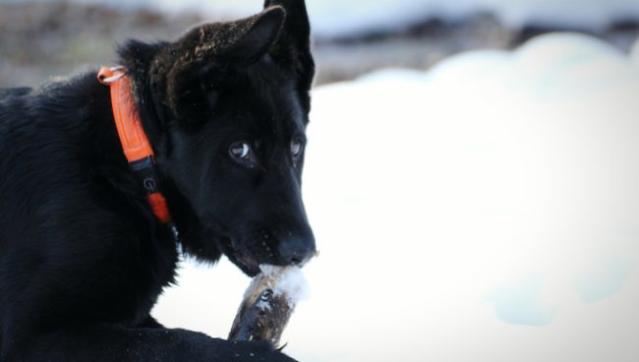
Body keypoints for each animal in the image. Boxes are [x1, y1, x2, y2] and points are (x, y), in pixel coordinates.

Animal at [0, 1, 316, 360]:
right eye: (240, 150)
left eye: (296, 147)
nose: (303, 252)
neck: (129, 169)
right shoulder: (30, 338)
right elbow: (178, 342)